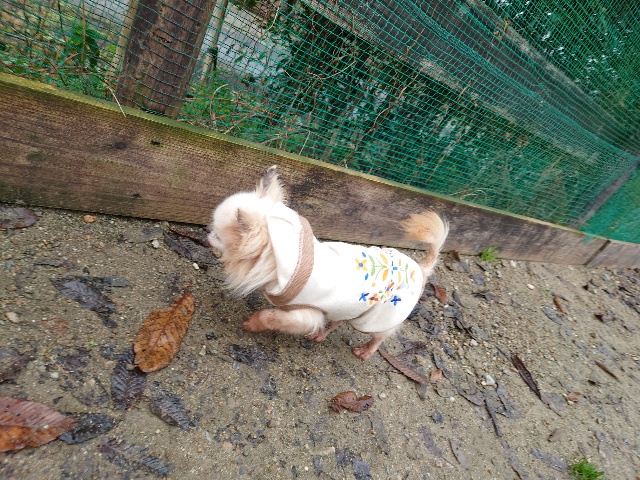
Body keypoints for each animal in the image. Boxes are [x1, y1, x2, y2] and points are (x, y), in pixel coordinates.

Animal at [208, 166, 448, 359]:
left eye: (218, 236)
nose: (207, 233)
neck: (283, 260)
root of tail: (421, 269)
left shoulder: (305, 314)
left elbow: (271, 316)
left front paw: (252, 323)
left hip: (377, 319)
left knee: (379, 337)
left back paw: (365, 351)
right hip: (354, 309)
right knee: (339, 320)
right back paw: (321, 334)